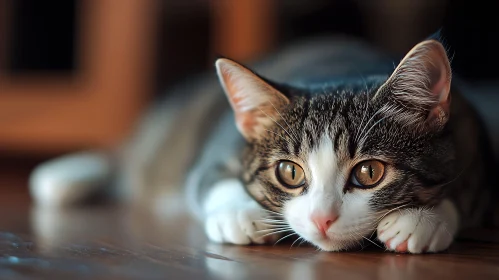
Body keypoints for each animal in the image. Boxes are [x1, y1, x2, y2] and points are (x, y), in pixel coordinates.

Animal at [29, 34, 498, 253]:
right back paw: (62, 176)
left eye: (369, 172)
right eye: (289, 172)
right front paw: (240, 215)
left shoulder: (472, 126)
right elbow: (208, 178)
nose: (323, 219)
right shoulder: (221, 143)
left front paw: (423, 220)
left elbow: (471, 190)